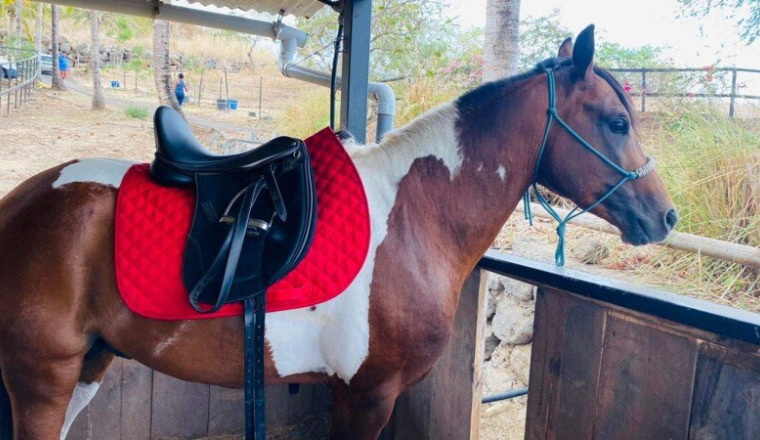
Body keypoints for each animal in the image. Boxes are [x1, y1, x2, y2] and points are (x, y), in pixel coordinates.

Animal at [0, 26, 677, 440]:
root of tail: (21, 201)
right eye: (617, 122)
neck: (414, 217)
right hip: (43, 380)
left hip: (87, 367)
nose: (665, 216)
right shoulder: (368, 395)